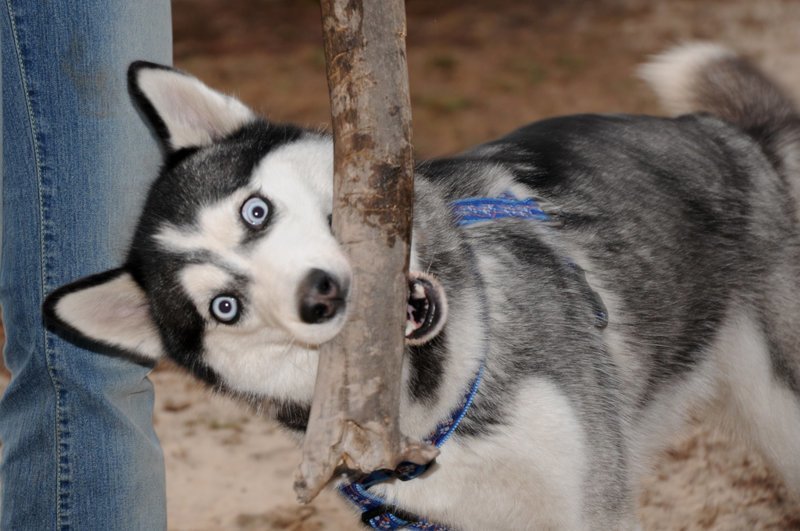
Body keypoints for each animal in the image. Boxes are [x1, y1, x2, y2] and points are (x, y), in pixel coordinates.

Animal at [45, 45, 800, 531]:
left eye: (254, 211)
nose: (319, 295)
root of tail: (733, 137)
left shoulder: (592, 505)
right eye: (224, 307)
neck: (441, 416)